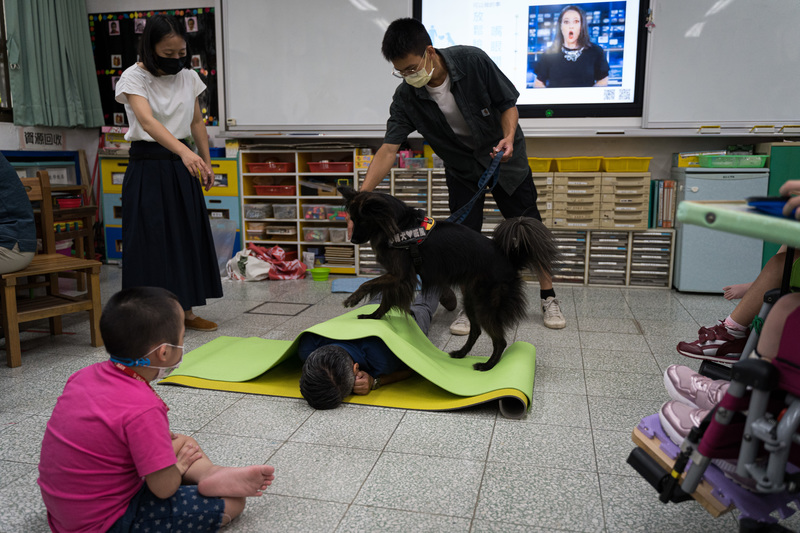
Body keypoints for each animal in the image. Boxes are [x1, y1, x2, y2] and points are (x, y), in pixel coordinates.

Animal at [340, 187, 560, 370]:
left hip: (484, 304)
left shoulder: (399, 275)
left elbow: (367, 283)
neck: (398, 225)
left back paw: (488, 365)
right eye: (352, 219)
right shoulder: (398, 278)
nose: (353, 239)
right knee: (476, 331)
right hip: (471, 300)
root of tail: (509, 259)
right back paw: (462, 354)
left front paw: (352, 299)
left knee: (500, 341)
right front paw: (373, 317)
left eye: (362, 220)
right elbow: (385, 300)